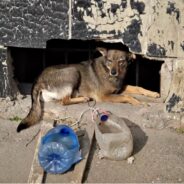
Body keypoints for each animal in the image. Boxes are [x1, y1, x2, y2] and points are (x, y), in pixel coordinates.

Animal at [16, 47, 160, 132]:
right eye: (109, 60)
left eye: (121, 61)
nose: (113, 72)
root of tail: (38, 79)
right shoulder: (105, 96)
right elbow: (128, 97)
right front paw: (140, 103)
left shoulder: (120, 88)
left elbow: (138, 88)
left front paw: (153, 94)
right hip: (72, 71)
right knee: (65, 100)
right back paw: (84, 98)